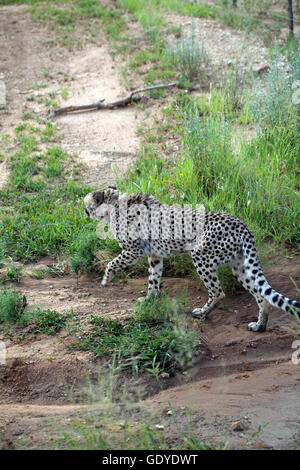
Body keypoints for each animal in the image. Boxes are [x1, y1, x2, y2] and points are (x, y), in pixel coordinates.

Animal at [83, 189, 298, 332]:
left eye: (87, 204)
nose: (84, 211)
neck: (113, 206)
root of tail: (240, 223)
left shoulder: (134, 251)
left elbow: (112, 263)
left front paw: (106, 280)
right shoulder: (155, 256)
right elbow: (153, 279)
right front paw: (150, 298)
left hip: (201, 256)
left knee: (218, 292)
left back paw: (202, 312)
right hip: (239, 266)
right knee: (262, 295)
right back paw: (260, 325)